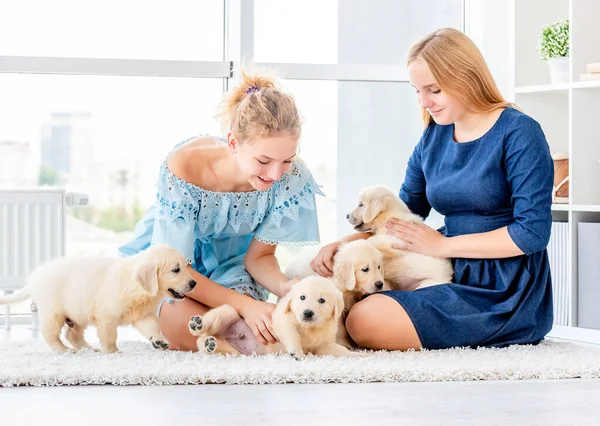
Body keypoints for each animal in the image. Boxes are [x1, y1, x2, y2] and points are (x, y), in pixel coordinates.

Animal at [0, 243, 196, 352]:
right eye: (176, 270)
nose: (194, 283)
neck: (135, 287)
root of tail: (35, 278)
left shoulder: (143, 316)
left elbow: (152, 327)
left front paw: (159, 341)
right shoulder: (107, 316)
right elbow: (110, 336)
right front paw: (113, 352)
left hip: (77, 314)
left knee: (72, 335)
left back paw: (88, 349)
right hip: (54, 313)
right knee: (50, 335)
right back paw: (64, 350)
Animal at [188, 276, 360, 360]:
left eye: (322, 300)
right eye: (302, 297)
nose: (307, 313)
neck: (310, 328)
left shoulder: (323, 344)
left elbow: (337, 350)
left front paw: (358, 355)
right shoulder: (280, 319)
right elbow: (291, 333)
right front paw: (296, 352)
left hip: (235, 352)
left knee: (205, 343)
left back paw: (210, 344)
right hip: (228, 313)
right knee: (210, 323)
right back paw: (198, 325)